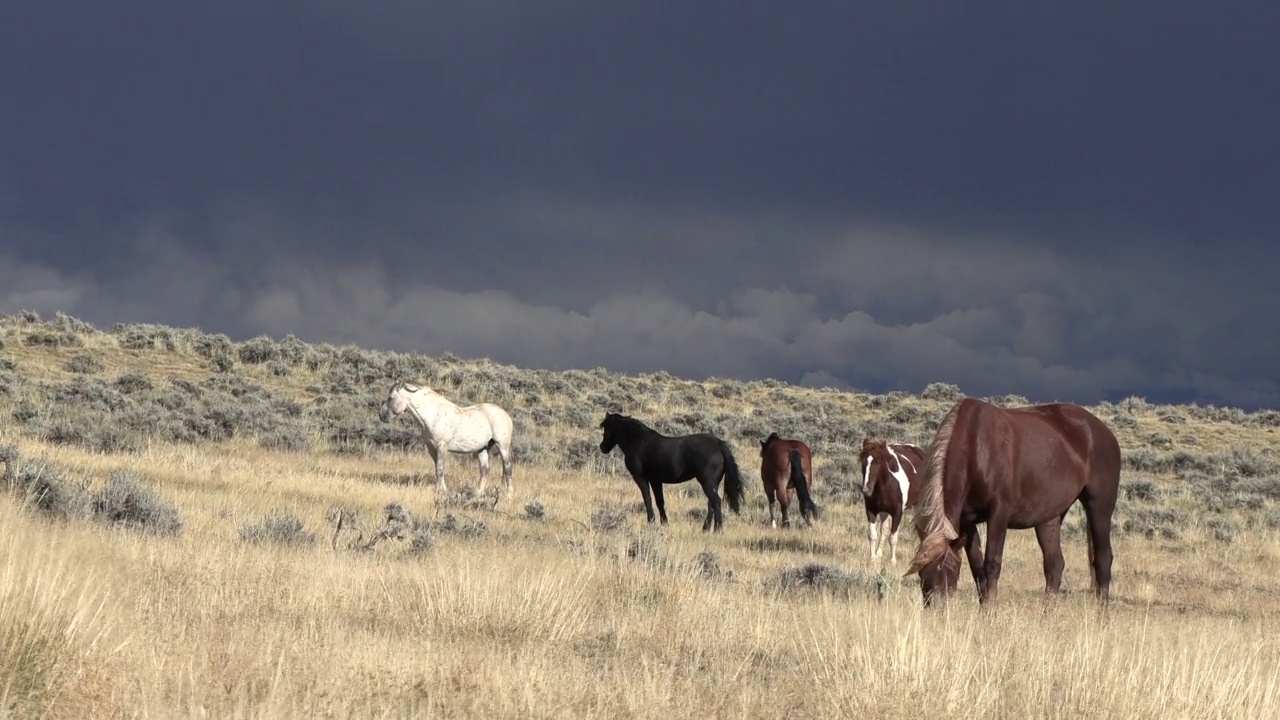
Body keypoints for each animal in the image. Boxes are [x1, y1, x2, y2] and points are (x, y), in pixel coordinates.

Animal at [378, 381, 514, 491]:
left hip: (503, 446)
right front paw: (440, 489)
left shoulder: (442, 447)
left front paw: (442, 491)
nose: (381, 416)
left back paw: (508, 495)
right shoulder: (432, 448)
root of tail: (506, 414)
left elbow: (440, 469)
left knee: (507, 469)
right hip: (483, 448)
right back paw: (478, 494)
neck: (433, 415)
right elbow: (437, 469)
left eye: (391, 397)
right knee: (485, 471)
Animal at [601, 412, 747, 530]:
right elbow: (660, 501)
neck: (638, 440)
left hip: (707, 482)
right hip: (714, 483)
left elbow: (647, 499)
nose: (602, 447)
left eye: (606, 428)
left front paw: (651, 522)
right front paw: (664, 523)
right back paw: (705, 529)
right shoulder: (655, 480)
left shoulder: (641, 478)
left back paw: (718, 529)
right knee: (711, 503)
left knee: (716, 501)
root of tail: (718, 444)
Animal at [855, 435, 926, 563]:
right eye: (862, 459)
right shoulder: (871, 510)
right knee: (884, 529)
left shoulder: (897, 513)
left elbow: (893, 537)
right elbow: (872, 534)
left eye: (878, 461)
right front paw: (873, 557)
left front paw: (892, 561)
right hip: (884, 511)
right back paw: (879, 553)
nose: (866, 489)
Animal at [901, 394, 1121, 602]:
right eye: (922, 575)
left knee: (1103, 560)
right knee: (1054, 566)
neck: (976, 449)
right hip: (1049, 518)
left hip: (1099, 507)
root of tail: (1104, 432)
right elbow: (977, 568)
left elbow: (992, 563)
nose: (934, 608)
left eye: (948, 570)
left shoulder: (999, 513)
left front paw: (991, 611)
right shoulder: (967, 522)